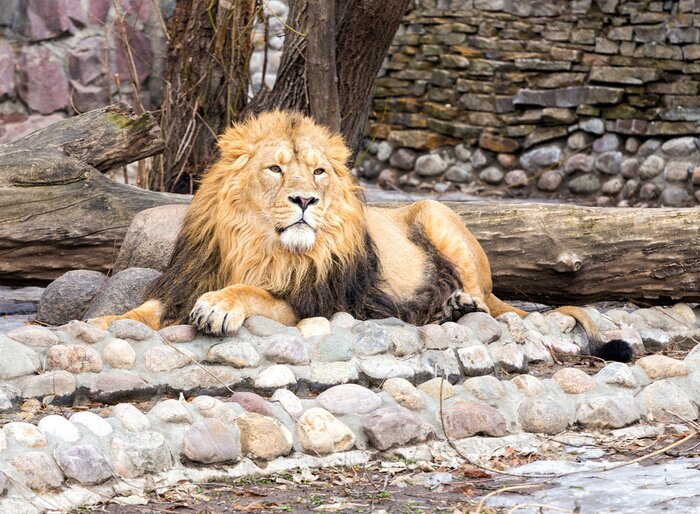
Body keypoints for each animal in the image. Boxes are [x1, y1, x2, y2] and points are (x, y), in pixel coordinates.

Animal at [94, 110, 632, 362]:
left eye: (318, 172)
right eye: (275, 169)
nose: (305, 200)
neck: (257, 243)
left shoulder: (313, 303)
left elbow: (252, 292)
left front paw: (220, 306)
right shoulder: (184, 281)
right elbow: (138, 313)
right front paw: (97, 325)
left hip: (437, 213)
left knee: (485, 298)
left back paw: (461, 305)